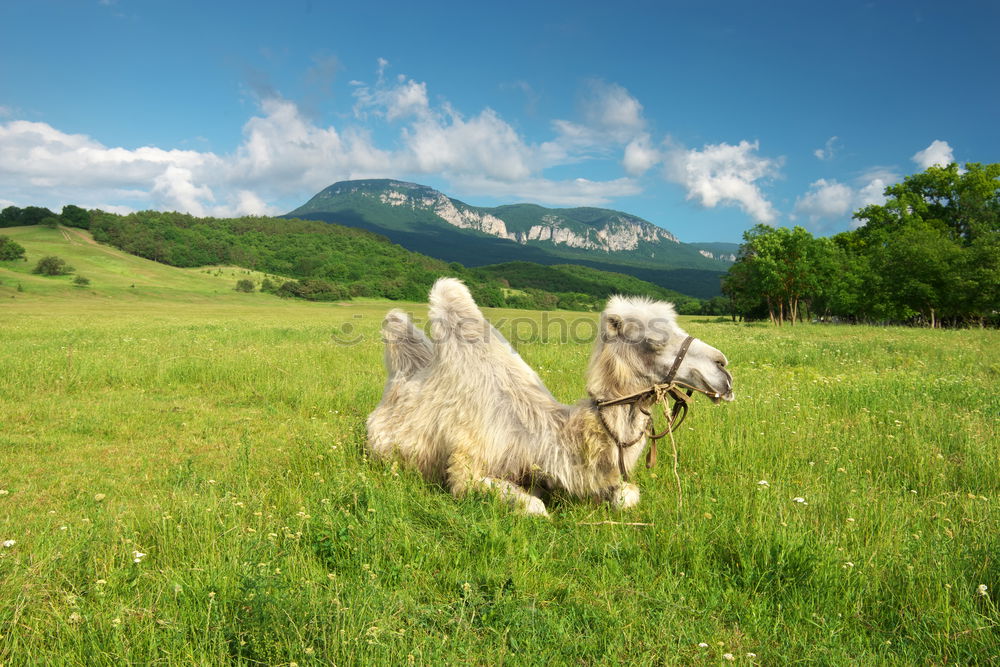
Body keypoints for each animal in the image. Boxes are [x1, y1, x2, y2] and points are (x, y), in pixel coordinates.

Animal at [364, 276, 732, 516]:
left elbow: (628, 496)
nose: (723, 370)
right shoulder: (466, 469)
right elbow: (536, 506)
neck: (548, 435)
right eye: (656, 340)